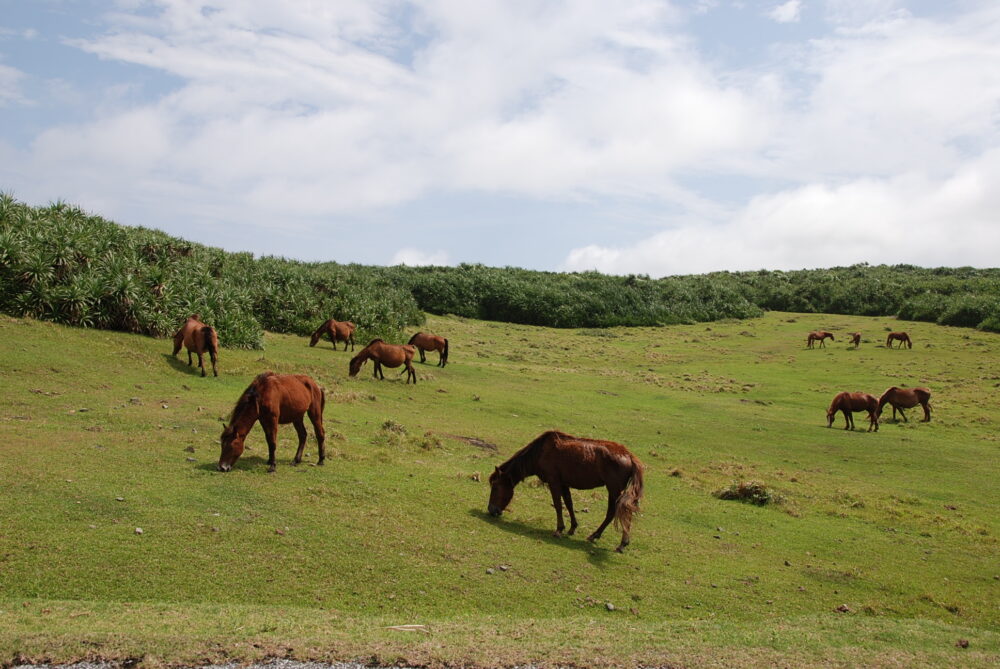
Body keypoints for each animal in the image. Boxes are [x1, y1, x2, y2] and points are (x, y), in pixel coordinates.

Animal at [488, 430, 644, 552]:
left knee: (619, 512)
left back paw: (621, 543)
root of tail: (629, 455)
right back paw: (596, 536)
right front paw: (572, 528)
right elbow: (569, 504)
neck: (540, 452)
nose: (491, 510)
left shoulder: (554, 482)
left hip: (614, 490)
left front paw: (559, 529)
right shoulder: (564, 484)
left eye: (495, 486)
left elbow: (558, 505)